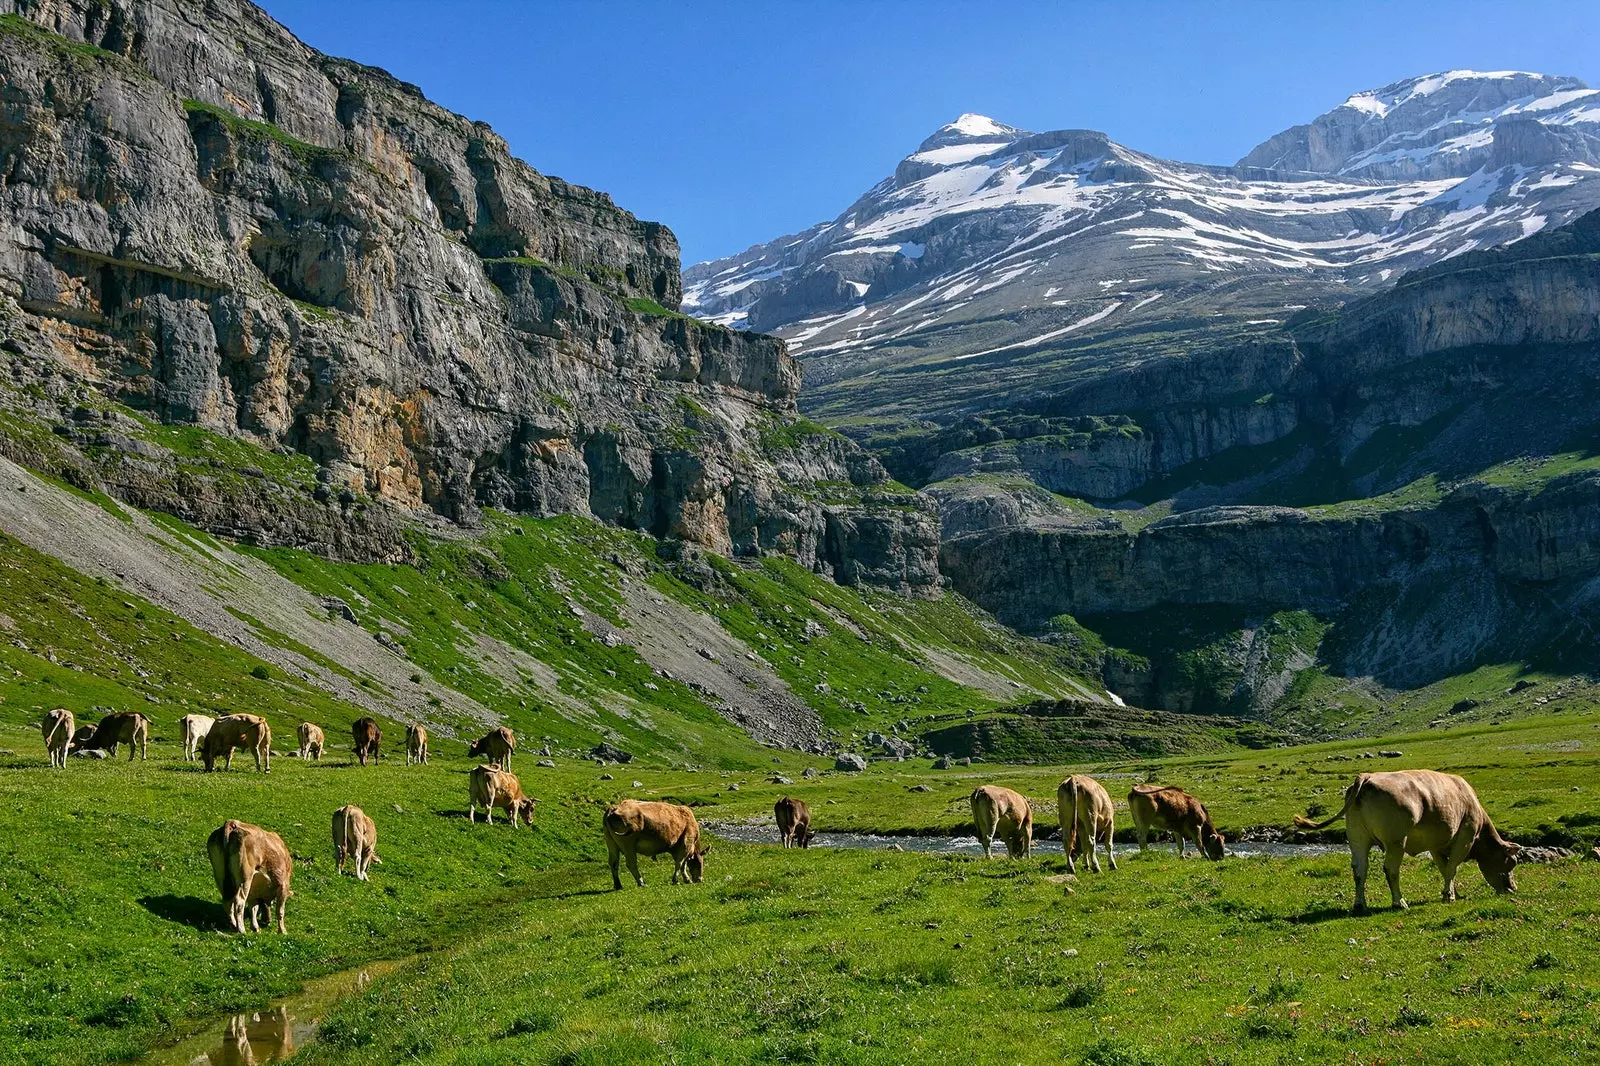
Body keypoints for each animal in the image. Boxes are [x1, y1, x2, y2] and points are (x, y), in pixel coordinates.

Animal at [1292, 768, 1516, 909]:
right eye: (1510, 863)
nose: (1512, 889)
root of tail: (1367, 777)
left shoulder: (1435, 845)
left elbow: (1445, 869)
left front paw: (1451, 892)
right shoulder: (1465, 837)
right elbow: (1452, 867)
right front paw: (1450, 895)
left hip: (1357, 838)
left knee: (1359, 869)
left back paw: (1360, 904)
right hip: (1395, 841)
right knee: (1390, 869)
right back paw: (1399, 902)